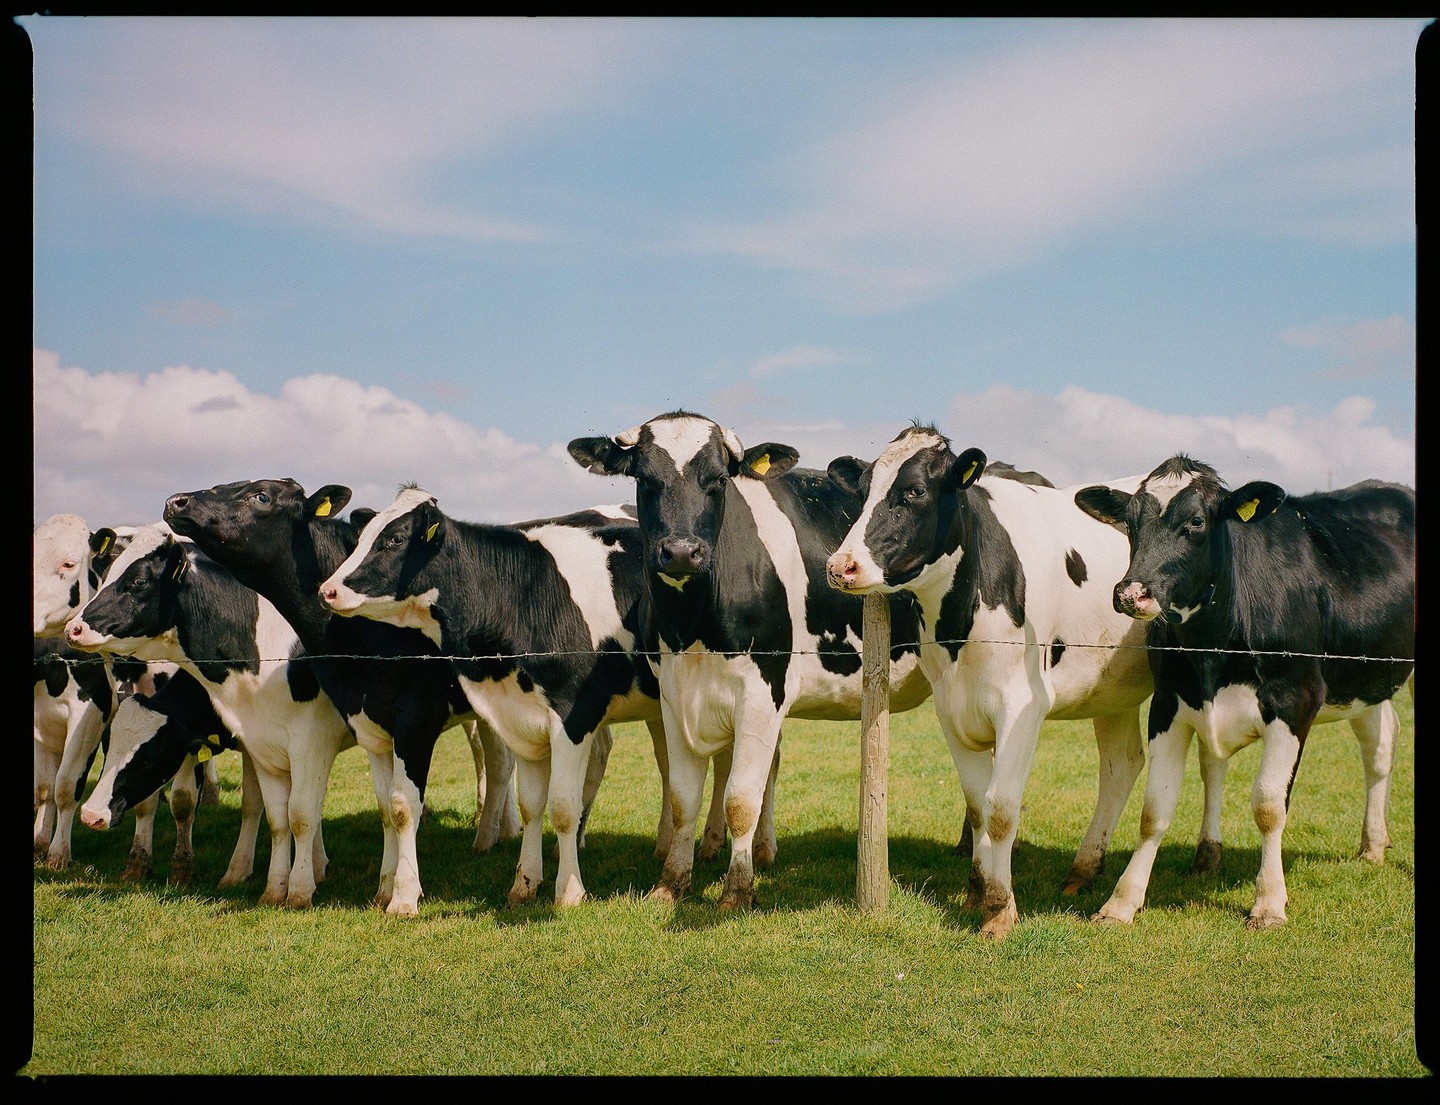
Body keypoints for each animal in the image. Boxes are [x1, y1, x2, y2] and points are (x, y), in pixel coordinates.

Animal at [66, 524, 354, 908]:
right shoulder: (257, 740)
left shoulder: (311, 739)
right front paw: (251, 875)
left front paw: (301, 887)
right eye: (106, 747)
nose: (91, 815)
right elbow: (264, 809)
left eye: (138, 581)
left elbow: (301, 812)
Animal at [315, 485, 746, 907]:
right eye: (363, 536)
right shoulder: (521, 717)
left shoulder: (573, 715)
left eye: (396, 538)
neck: (522, 594)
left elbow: (563, 806)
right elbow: (531, 804)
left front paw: (569, 892)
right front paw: (524, 883)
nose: (328, 590)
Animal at [568, 410, 936, 911]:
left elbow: (741, 799)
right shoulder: (674, 696)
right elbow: (682, 798)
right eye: (644, 479)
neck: (692, 629)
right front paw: (671, 883)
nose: (681, 551)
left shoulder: (764, 693)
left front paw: (737, 890)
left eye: (719, 480)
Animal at [821, 423, 1155, 940]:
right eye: (862, 492)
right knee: (1121, 765)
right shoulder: (951, 706)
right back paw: (1082, 872)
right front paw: (977, 892)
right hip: (1113, 691)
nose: (842, 566)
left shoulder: (1024, 705)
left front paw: (1000, 909)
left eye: (914, 492)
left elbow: (1000, 809)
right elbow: (977, 804)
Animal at [1073, 455, 1415, 929]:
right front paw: (1121, 902)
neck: (1214, 644)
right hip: (1364, 680)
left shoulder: (1294, 701)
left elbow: (1269, 805)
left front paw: (1269, 903)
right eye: (1131, 522)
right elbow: (1154, 810)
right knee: (1379, 744)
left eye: (1197, 521)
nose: (1131, 593)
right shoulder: (1169, 704)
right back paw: (1373, 845)